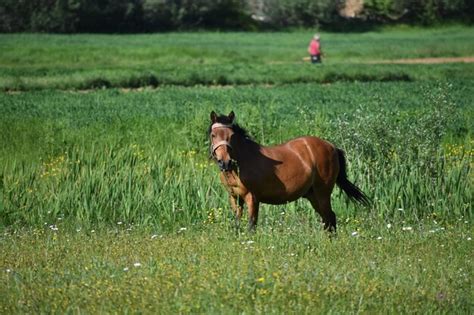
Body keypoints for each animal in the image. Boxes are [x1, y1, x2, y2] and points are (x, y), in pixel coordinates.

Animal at [208, 111, 370, 232]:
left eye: (231, 136)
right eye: (213, 135)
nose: (225, 162)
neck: (241, 163)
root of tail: (332, 147)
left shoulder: (252, 198)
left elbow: (251, 227)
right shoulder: (235, 198)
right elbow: (237, 224)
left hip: (322, 193)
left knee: (330, 218)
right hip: (313, 196)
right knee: (328, 219)